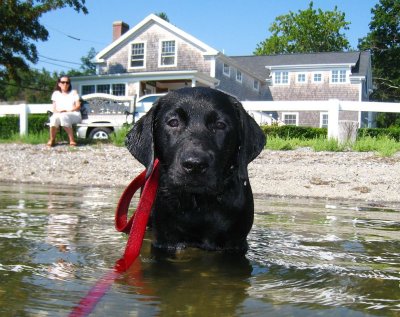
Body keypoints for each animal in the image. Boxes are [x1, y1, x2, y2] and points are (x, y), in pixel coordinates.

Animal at [126, 87, 266, 252]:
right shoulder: (164, 240)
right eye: (173, 122)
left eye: (220, 125)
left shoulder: (235, 243)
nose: (195, 165)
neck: (198, 203)